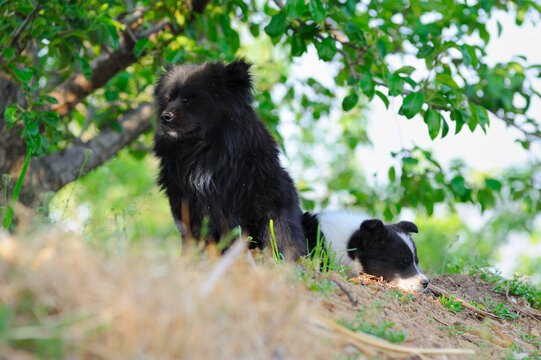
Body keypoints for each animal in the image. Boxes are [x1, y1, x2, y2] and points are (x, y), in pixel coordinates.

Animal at [154, 59, 306, 262]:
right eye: (169, 99)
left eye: (190, 99)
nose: (165, 117)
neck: (204, 149)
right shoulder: (186, 201)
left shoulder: (266, 194)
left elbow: (278, 231)